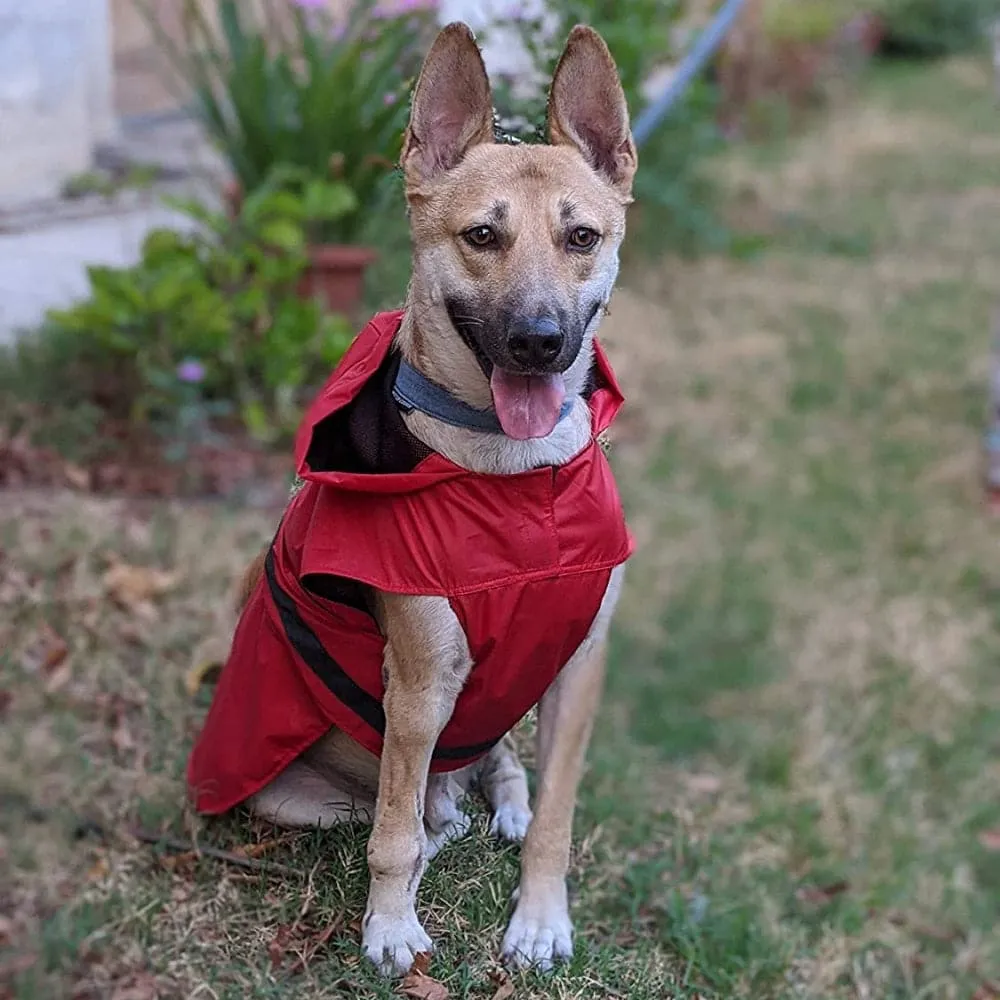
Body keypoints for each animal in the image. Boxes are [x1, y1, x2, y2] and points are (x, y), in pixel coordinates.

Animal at [186, 21, 640, 976]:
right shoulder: (422, 679)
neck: (515, 480)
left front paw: (540, 917)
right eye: (481, 235)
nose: (539, 342)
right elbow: (391, 834)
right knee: (402, 812)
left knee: (499, 770)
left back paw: (498, 803)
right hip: (294, 790)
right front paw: (391, 926)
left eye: (582, 236)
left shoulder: (579, 664)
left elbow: (558, 813)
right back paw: (439, 824)